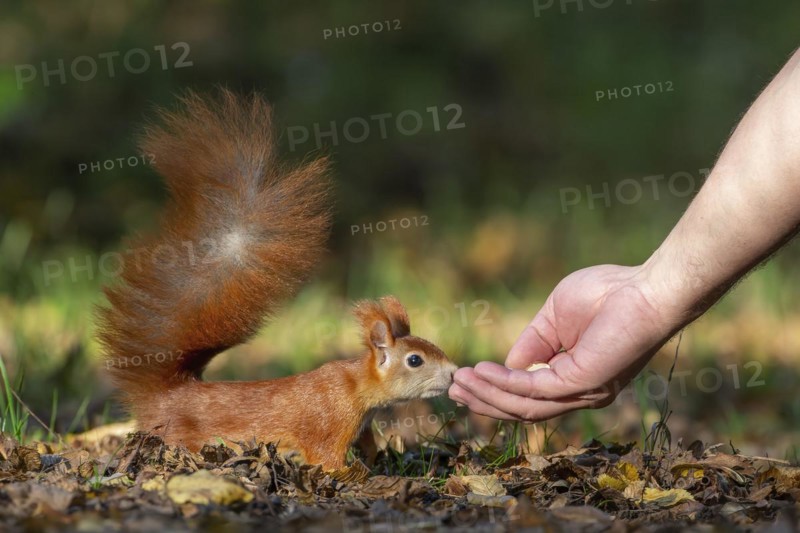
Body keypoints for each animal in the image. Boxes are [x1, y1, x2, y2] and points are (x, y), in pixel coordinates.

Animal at [96, 89, 458, 471]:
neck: (355, 385)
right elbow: (327, 460)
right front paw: (362, 476)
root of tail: (167, 395)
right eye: (415, 360)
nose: (453, 373)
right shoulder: (329, 422)